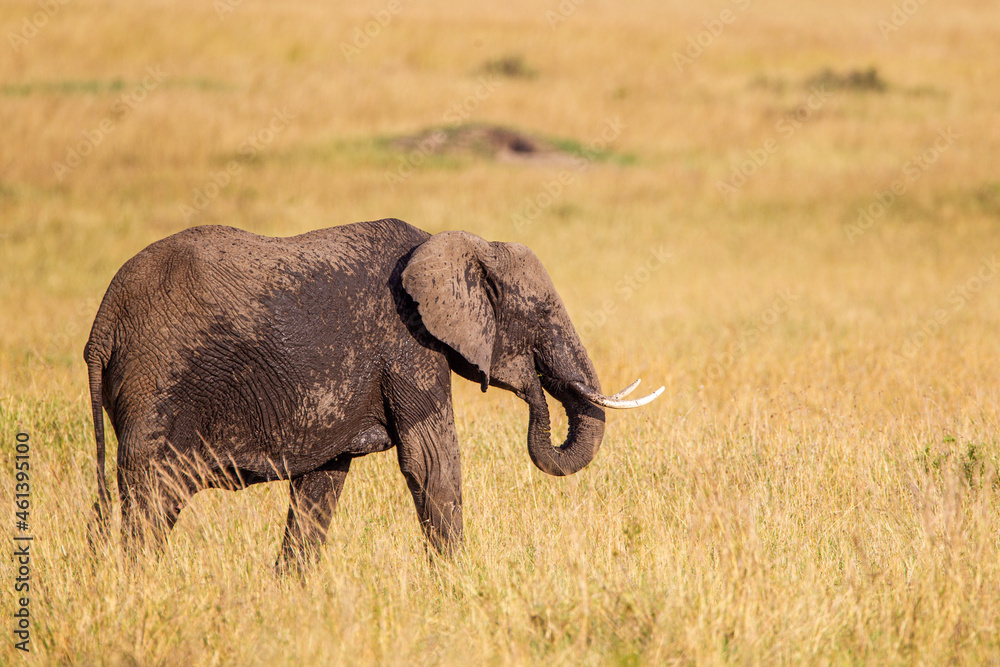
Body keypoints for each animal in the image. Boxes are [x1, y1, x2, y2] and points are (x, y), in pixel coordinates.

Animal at [85, 218, 662, 568]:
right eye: (541, 314)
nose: (535, 389)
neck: (456, 243)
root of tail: (102, 324)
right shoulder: (408, 346)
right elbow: (431, 463)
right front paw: (458, 587)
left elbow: (322, 484)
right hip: (157, 382)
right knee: (152, 497)